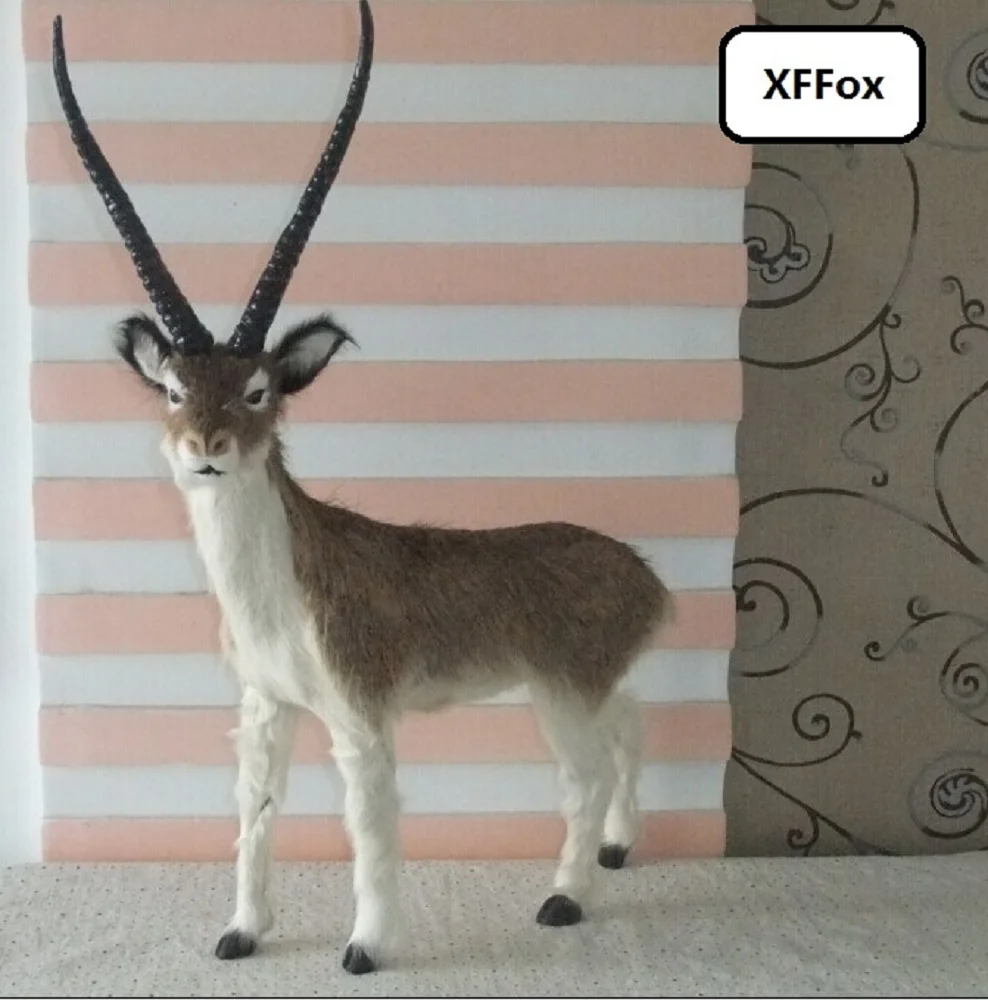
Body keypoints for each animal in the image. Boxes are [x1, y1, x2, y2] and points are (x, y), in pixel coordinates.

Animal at [52, 0, 672, 974]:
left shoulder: (359, 719)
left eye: (259, 389)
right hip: (571, 690)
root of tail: (650, 580)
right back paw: (618, 849)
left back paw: (566, 897)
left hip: (561, 697)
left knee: (586, 773)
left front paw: (365, 947)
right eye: (174, 388)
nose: (205, 448)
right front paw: (240, 931)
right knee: (635, 720)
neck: (277, 590)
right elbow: (255, 813)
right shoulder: (266, 706)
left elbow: (370, 829)